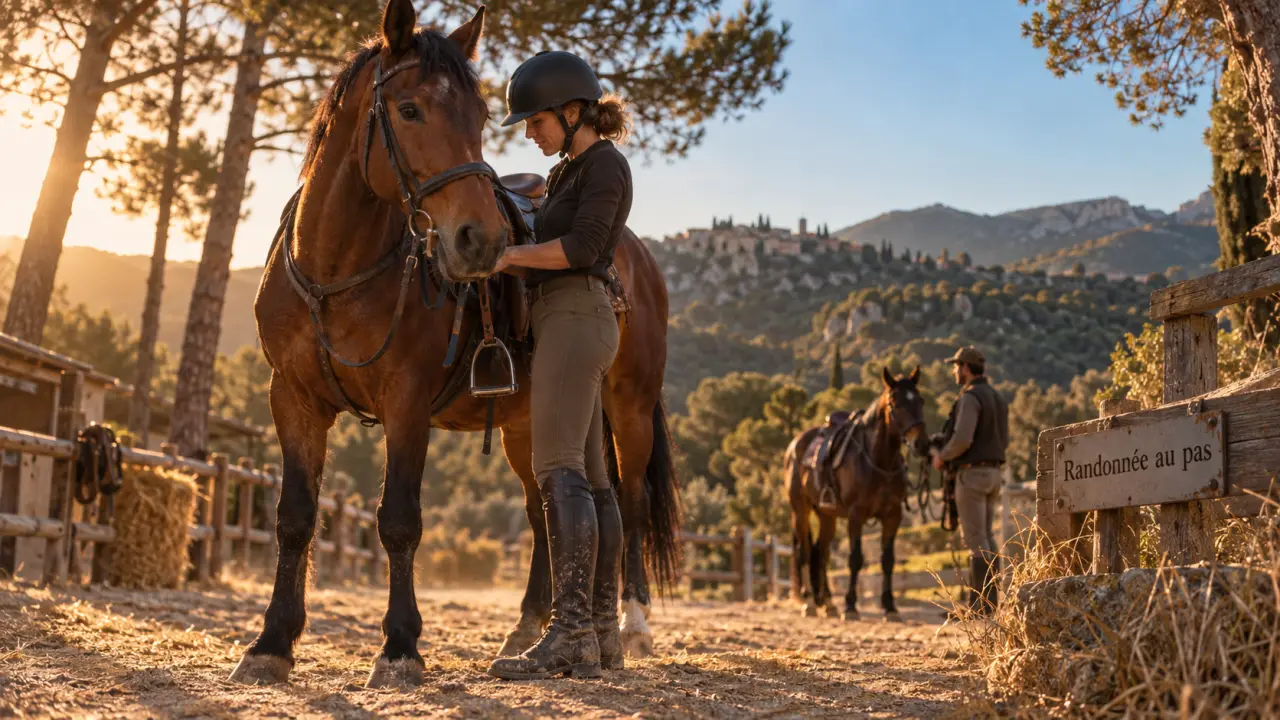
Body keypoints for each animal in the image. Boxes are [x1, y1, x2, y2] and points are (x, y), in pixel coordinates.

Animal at [234, 1, 678, 688]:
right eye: (409, 109)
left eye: (478, 116)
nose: (482, 240)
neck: (336, 274)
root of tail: (635, 254)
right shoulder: (293, 400)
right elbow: (294, 517)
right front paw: (271, 643)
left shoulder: (407, 404)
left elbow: (398, 520)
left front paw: (399, 648)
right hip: (530, 423)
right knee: (546, 513)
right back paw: (528, 631)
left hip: (627, 411)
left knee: (625, 505)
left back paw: (629, 626)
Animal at [783, 367, 928, 622]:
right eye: (896, 403)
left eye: (920, 401)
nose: (921, 443)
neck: (878, 461)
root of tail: (795, 445)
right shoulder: (856, 515)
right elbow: (855, 558)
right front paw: (851, 606)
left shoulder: (893, 515)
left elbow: (887, 560)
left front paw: (890, 607)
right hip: (800, 511)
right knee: (806, 551)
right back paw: (810, 602)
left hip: (826, 516)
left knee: (821, 553)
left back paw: (828, 603)